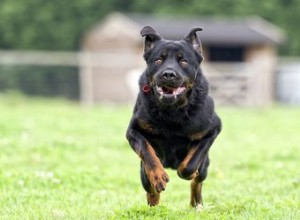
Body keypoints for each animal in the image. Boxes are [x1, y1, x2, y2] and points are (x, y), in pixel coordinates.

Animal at [125, 26, 221, 210]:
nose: (168, 74)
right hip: (142, 171)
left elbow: (190, 165)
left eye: (184, 62)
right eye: (158, 60)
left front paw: (188, 172)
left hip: (205, 166)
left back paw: (196, 204)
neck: (173, 111)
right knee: (149, 186)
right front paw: (158, 176)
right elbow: (147, 152)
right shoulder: (133, 131)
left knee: (198, 182)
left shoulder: (213, 130)